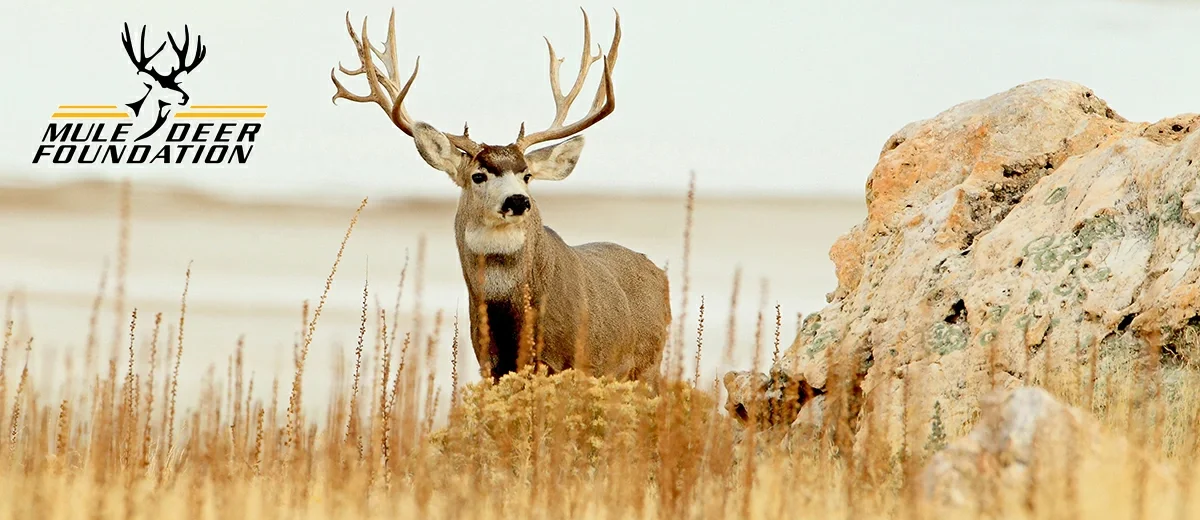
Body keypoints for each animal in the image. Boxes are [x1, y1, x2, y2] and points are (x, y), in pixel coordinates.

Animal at [330, 8, 671, 390]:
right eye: (478, 175)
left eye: (527, 175)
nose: (518, 201)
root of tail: (658, 272)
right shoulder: (490, 365)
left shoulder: (571, 362)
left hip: (646, 366)